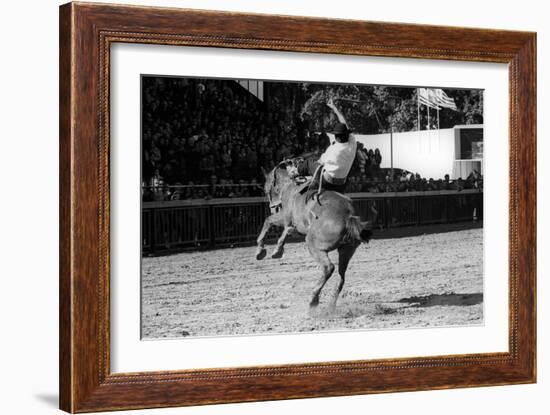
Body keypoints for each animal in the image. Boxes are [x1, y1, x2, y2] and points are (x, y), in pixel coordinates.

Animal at [256, 161, 378, 310]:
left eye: (265, 189)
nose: (272, 207)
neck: (289, 187)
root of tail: (348, 216)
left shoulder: (285, 217)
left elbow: (269, 221)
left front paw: (265, 251)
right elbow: (283, 229)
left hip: (314, 245)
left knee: (328, 268)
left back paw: (313, 299)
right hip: (347, 250)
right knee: (341, 276)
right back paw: (330, 305)